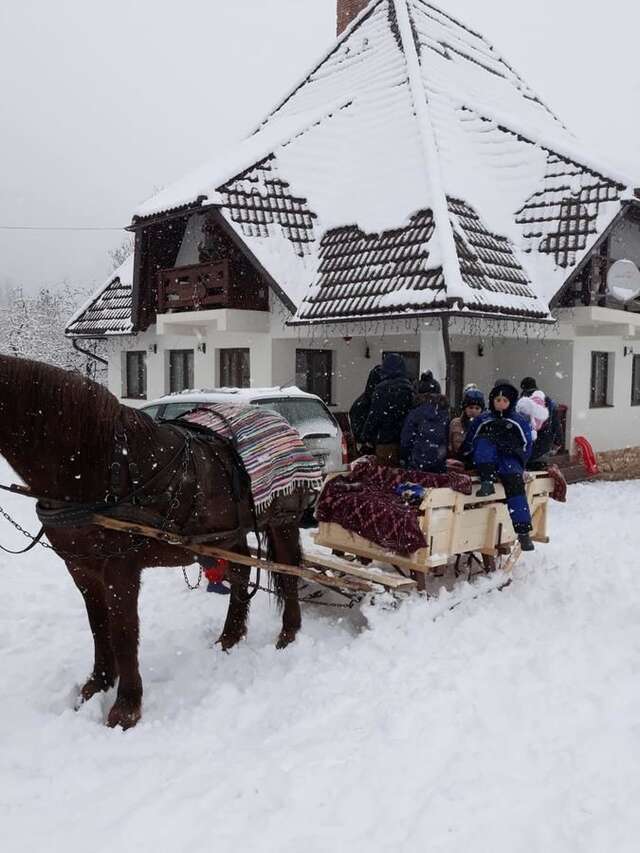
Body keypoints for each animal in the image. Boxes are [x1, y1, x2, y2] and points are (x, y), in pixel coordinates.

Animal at [0, 352, 312, 724]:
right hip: (227, 534)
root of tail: (284, 423)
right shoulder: (81, 568)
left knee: (288, 573)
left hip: (283, 522)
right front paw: (97, 684)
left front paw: (126, 707)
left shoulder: (120, 569)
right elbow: (98, 625)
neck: (99, 464)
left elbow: (123, 631)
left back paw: (288, 634)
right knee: (241, 573)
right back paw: (229, 639)